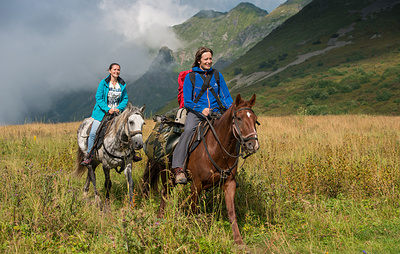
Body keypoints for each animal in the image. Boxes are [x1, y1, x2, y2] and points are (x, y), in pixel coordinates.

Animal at [143, 94, 260, 244]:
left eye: (255, 120)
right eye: (238, 118)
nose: (253, 145)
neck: (217, 147)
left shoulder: (230, 183)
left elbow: (231, 212)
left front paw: (239, 241)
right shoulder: (196, 185)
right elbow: (193, 210)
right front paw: (192, 233)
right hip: (167, 176)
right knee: (165, 194)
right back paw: (160, 219)